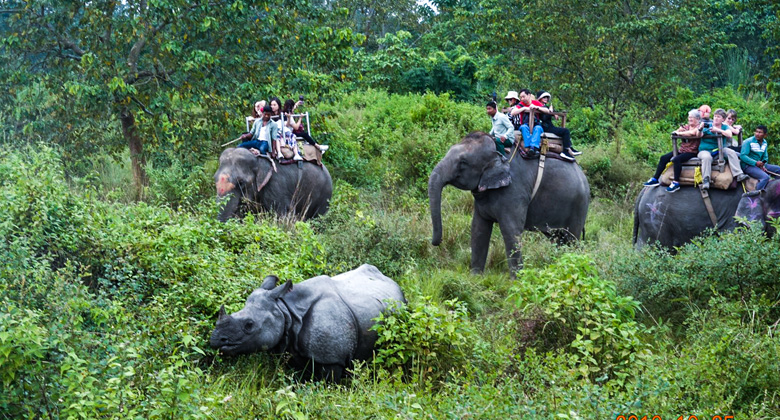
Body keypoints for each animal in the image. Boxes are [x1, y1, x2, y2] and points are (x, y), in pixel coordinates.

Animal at [210, 266, 406, 380]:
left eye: (249, 325)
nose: (215, 340)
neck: (285, 310)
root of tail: (392, 281)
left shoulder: (332, 358)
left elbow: (329, 384)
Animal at [426, 131, 592, 276]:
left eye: (463, 163)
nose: (436, 243)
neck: (497, 151)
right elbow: (478, 229)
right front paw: (475, 278)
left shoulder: (515, 190)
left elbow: (510, 230)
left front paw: (517, 282)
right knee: (557, 239)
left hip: (579, 205)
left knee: (571, 239)